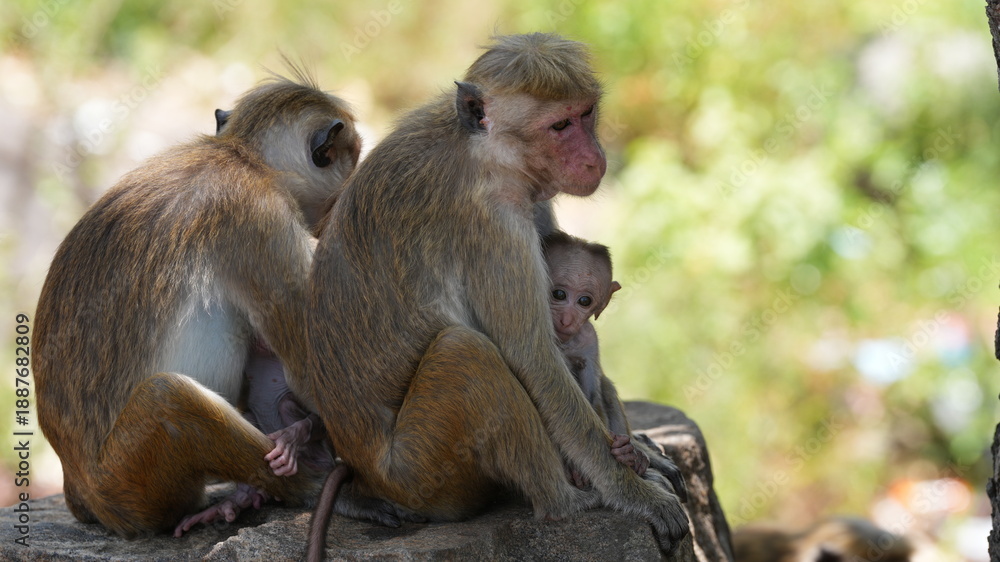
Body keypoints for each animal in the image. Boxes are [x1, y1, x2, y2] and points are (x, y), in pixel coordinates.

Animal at [33, 74, 371, 538]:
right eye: (351, 159)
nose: (333, 212)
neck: (243, 158)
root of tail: (79, 492)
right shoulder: (261, 220)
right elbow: (311, 370)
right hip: (129, 482)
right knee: (168, 399)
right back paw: (306, 485)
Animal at [305, 33, 689, 560]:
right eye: (560, 125)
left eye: (586, 113)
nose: (595, 158)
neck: (486, 153)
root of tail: (367, 472)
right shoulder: (494, 224)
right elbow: (534, 357)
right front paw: (633, 492)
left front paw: (638, 450)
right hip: (421, 475)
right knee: (467, 353)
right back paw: (564, 502)